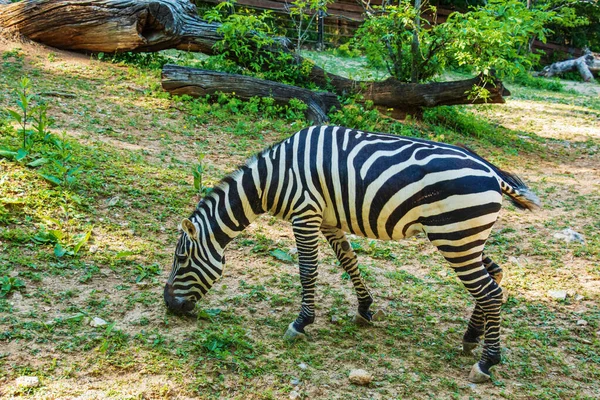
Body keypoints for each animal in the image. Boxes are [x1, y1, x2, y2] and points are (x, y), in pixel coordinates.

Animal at [163, 124, 540, 382]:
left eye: (181, 260)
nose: (168, 306)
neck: (271, 179)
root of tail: (491, 170)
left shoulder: (305, 213)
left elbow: (307, 270)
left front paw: (301, 323)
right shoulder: (329, 219)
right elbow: (349, 261)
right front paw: (364, 309)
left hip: (454, 235)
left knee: (491, 292)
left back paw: (487, 362)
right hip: (465, 237)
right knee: (494, 275)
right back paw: (471, 337)